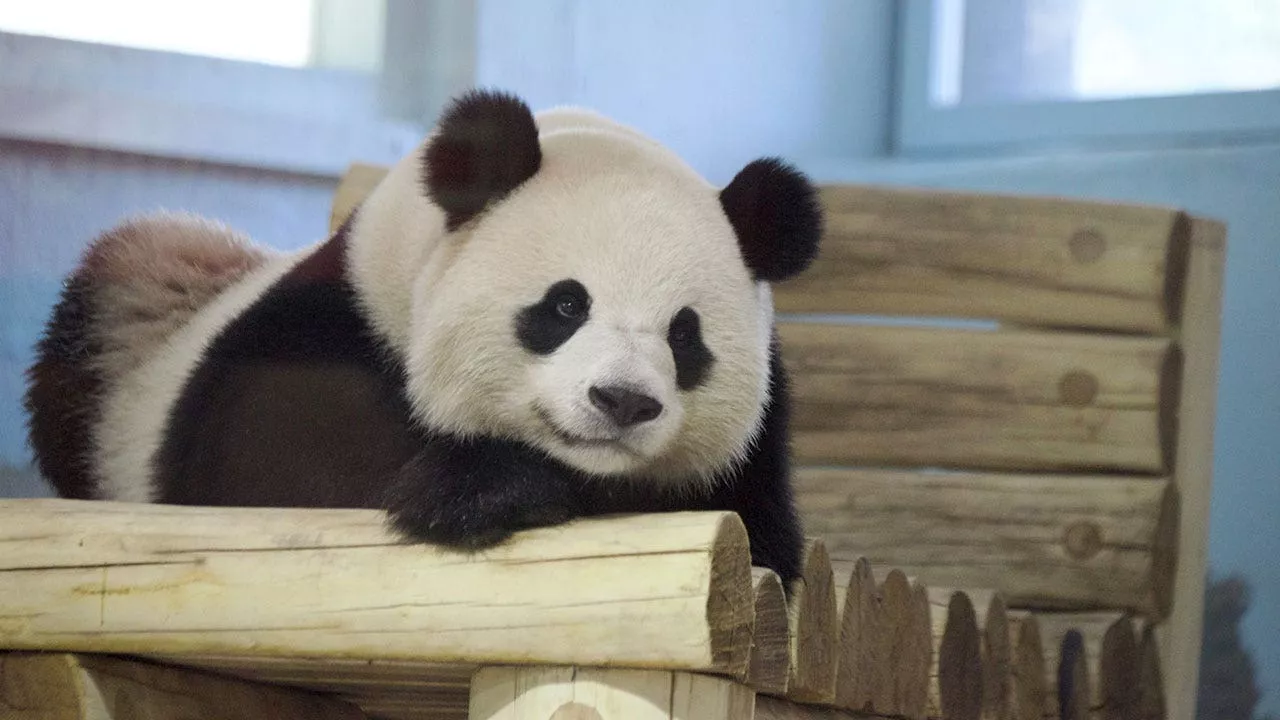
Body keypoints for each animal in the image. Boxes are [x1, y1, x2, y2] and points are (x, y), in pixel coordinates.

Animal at [24, 89, 824, 584]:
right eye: (566, 305)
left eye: (685, 337)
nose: (623, 401)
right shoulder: (325, 326)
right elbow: (277, 466)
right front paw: (482, 490)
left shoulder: (759, 448)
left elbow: (762, 536)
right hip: (128, 319)